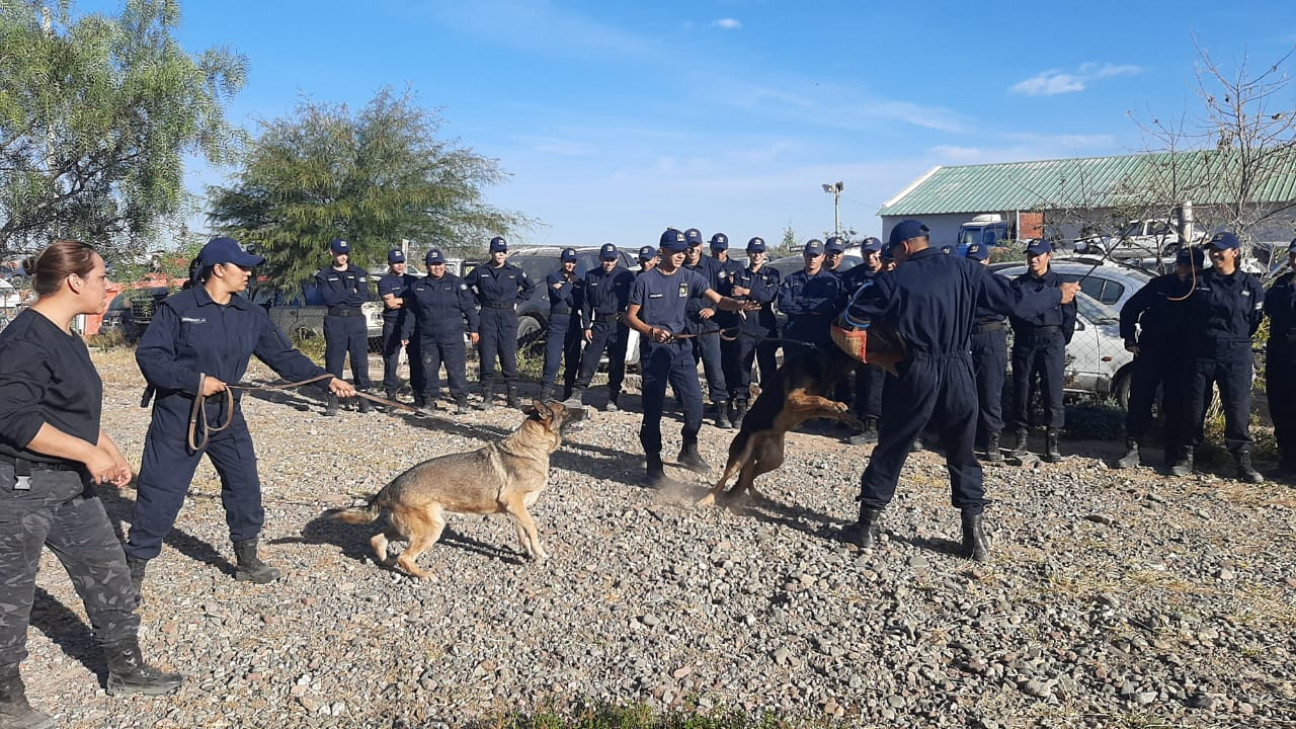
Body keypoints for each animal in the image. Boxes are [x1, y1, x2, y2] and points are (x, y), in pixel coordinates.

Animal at [324, 396, 588, 578]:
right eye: (564, 409)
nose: (586, 410)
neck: (532, 445)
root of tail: (388, 488)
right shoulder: (515, 504)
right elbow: (532, 529)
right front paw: (540, 553)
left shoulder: (515, 511)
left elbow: (524, 533)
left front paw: (529, 553)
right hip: (431, 529)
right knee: (405, 556)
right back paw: (423, 575)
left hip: (410, 527)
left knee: (378, 539)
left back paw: (388, 561)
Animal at [694, 345, 865, 505]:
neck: (822, 358)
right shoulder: (793, 399)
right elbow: (819, 399)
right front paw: (840, 406)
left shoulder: (809, 408)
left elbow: (826, 405)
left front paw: (851, 419)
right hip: (740, 456)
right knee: (725, 480)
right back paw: (706, 499)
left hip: (773, 460)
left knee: (748, 476)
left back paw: (750, 493)